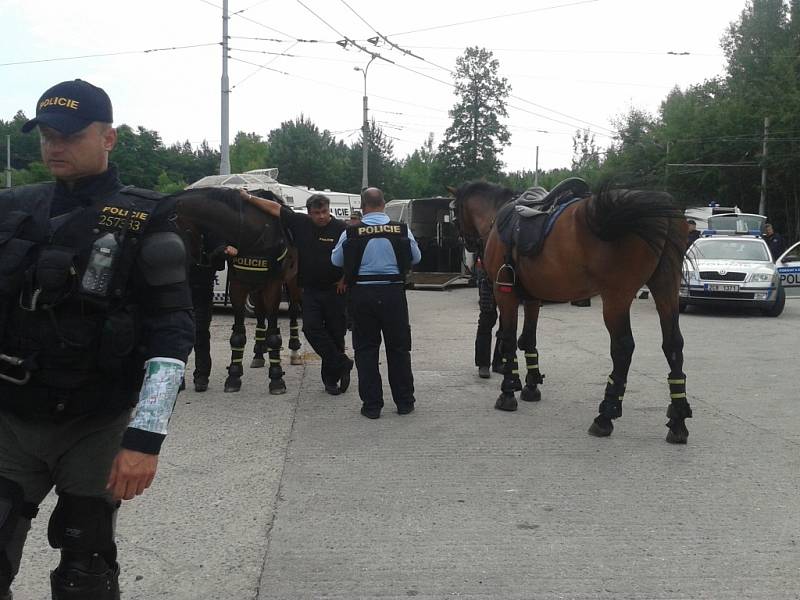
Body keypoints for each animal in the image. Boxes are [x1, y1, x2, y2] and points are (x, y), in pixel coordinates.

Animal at [175, 188, 296, 394]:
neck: (253, 231)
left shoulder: (273, 287)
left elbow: (274, 335)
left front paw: (277, 378)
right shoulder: (239, 286)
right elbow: (238, 335)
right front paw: (233, 376)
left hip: (294, 283)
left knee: (295, 309)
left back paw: (294, 348)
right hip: (256, 289)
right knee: (260, 315)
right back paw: (258, 353)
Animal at [454, 180, 692, 442]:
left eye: (454, 212)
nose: (467, 245)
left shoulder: (504, 293)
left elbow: (508, 340)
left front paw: (508, 391)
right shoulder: (533, 298)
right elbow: (527, 340)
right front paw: (531, 386)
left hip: (616, 297)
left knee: (623, 348)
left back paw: (605, 415)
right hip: (666, 288)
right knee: (673, 344)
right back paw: (678, 420)